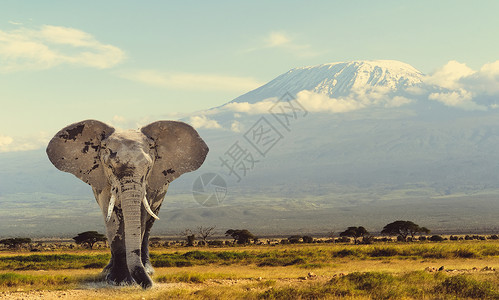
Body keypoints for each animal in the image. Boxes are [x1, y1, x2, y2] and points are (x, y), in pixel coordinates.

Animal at [47, 119, 209, 288]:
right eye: (110, 166)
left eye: (148, 168)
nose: (150, 285)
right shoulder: (104, 183)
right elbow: (112, 221)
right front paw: (118, 281)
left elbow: (141, 219)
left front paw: (128, 280)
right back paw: (107, 272)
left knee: (149, 226)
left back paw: (148, 270)